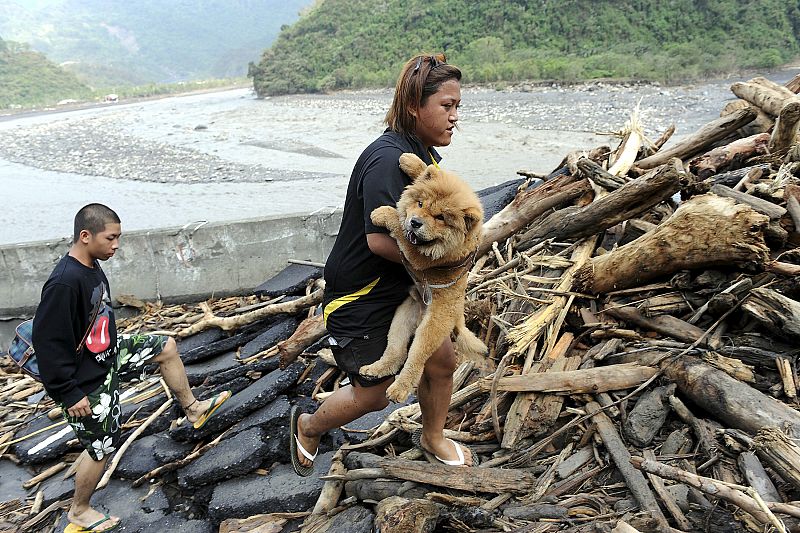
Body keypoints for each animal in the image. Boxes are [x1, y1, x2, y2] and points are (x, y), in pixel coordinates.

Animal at [360, 152, 488, 402]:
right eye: (420, 204)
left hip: (431, 328)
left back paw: (399, 388)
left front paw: (384, 213)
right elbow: (433, 171)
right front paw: (411, 161)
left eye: (440, 217)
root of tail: (458, 314)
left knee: (415, 358)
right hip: (401, 318)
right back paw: (375, 369)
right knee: (396, 351)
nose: (415, 222)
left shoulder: (417, 257)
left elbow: (400, 229)